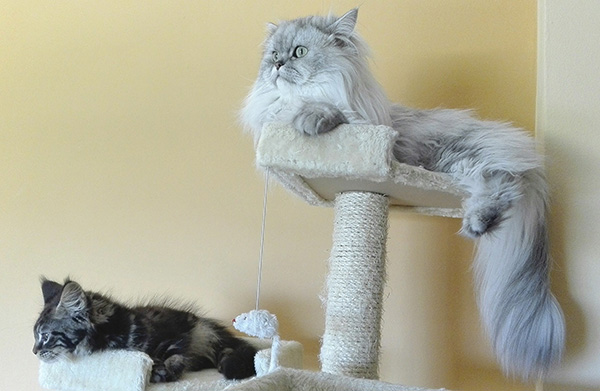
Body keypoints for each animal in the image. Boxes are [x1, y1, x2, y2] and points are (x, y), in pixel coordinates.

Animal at [32, 278, 256, 382]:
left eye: (45, 336)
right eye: (35, 336)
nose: (34, 351)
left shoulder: (175, 335)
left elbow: (175, 355)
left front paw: (165, 371)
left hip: (202, 333)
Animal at [241, 9, 564, 382]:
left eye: (299, 53)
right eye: (274, 55)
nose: (277, 65)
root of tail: (525, 151)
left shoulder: (360, 125)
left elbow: (328, 113)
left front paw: (311, 118)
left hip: (459, 159)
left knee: (503, 182)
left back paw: (480, 221)